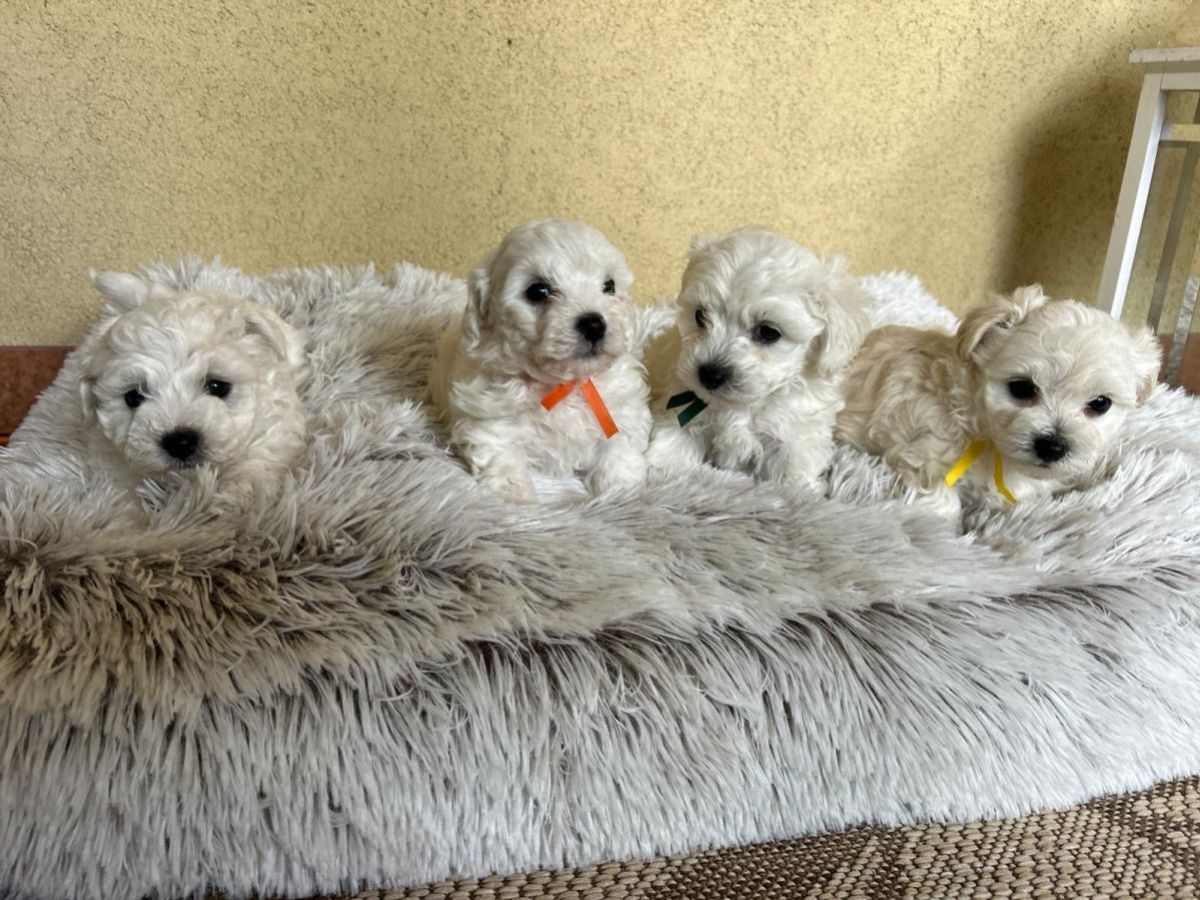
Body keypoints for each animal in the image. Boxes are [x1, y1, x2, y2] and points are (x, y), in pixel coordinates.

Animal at [78, 273, 308, 503]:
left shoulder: (273, 432)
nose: (180, 442)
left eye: (217, 386)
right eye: (133, 397)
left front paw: (232, 498)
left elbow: (253, 468)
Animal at [429, 218, 651, 503]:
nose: (594, 324)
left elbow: (619, 453)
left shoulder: (622, 411)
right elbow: (500, 455)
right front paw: (514, 496)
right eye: (538, 291)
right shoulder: (489, 420)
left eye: (609, 286)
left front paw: (622, 495)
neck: (562, 385)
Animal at [646, 227, 870, 491]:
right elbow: (671, 447)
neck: (742, 405)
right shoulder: (680, 410)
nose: (709, 374)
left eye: (768, 332)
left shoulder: (794, 438)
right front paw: (662, 475)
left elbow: (793, 474)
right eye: (700, 316)